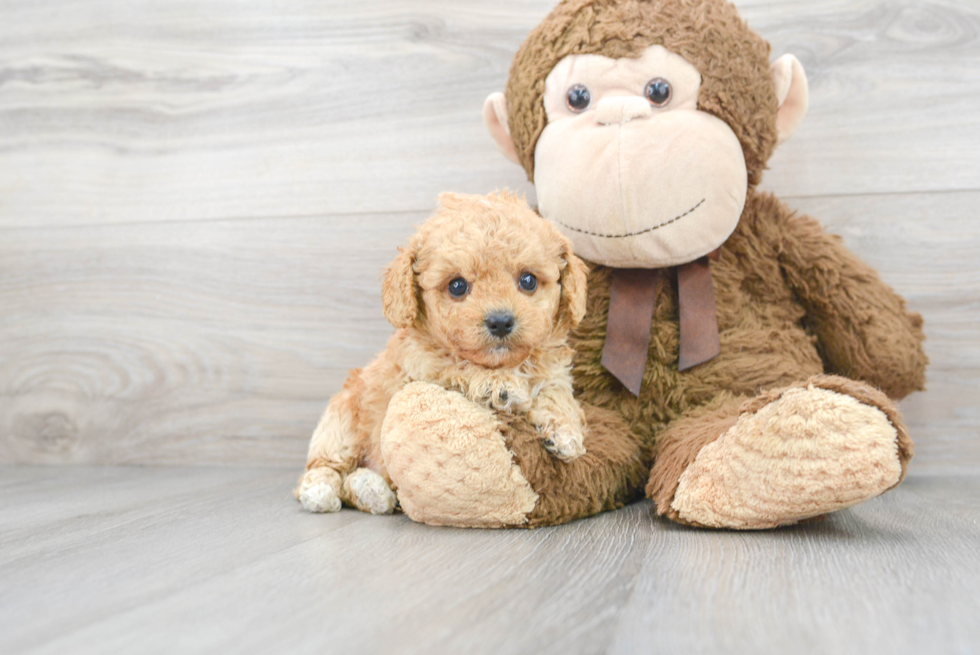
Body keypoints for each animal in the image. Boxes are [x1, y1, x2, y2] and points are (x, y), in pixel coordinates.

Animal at [294, 192, 588, 516]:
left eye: (528, 281)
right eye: (457, 286)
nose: (500, 321)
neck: (504, 363)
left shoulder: (554, 370)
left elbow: (556, 392)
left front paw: (565, 432)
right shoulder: (422, 365)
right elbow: (456, 364)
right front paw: (498, 385)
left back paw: (371, 490)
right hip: (341, 424)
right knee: (323, 468)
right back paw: (323, 492)